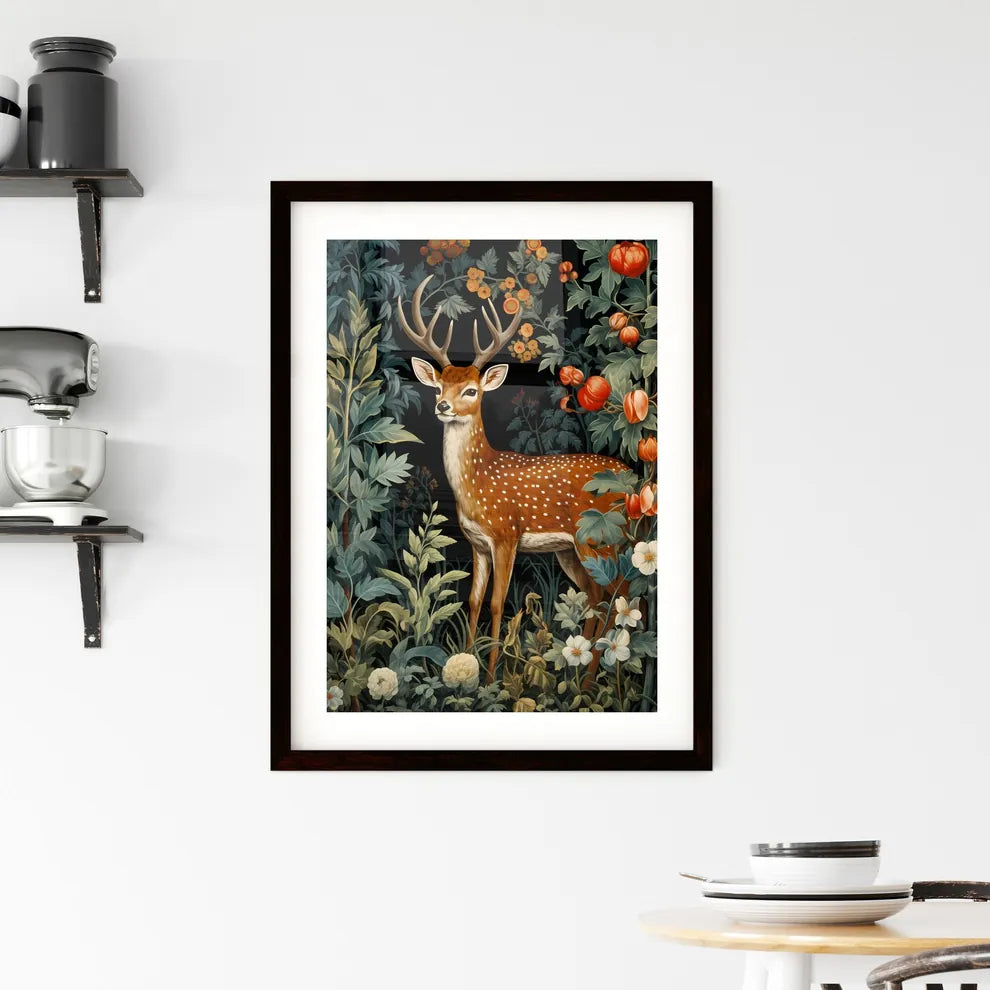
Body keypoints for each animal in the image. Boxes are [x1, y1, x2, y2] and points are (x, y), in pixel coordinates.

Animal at [397, 274, 629, 685]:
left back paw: (596, 681)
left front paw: (492, 678)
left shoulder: (506, 535)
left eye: (471, 390)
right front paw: (467, 666)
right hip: (571, 550)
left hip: (600, 539)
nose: (442, 406)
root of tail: (637, 480)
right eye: (439, 386)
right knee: (600, 595)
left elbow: (497, 602)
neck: (478, 481)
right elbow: (473, 600)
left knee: (619, 592)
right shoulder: (476, 543)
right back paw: (585, 679)